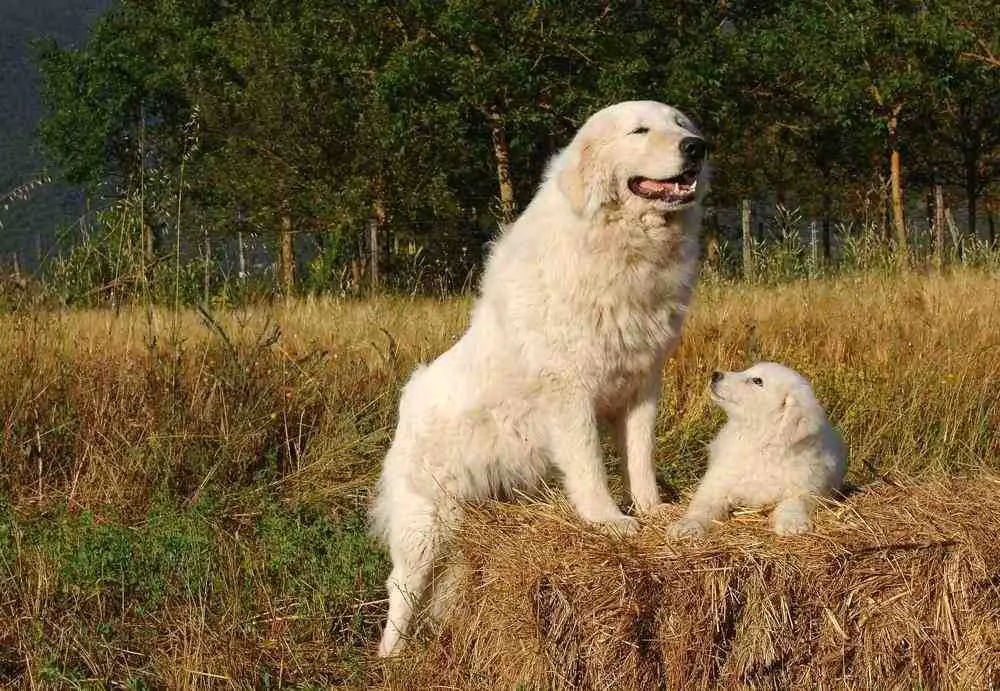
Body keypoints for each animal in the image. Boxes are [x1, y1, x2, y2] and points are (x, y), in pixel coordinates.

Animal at [372, 100, 708, 656]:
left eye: (682, 124)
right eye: (640, 130)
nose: (696, 147)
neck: (618, 244)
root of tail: (409, 398)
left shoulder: (642, 386)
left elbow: (640, 458)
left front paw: (653, 510)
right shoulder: (571, 393)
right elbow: (590, 467)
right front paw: (609, 522)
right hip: (426, 524)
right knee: (401, 589)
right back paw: (390, 659)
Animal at [672, 362, 844, 540]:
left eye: (757, 381)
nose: (715, 374)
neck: (760, 444)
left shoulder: (807, 488)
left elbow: (794, 503)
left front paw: (792, 523)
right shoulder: (716, 483)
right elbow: (703, 506)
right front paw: (688, 525)